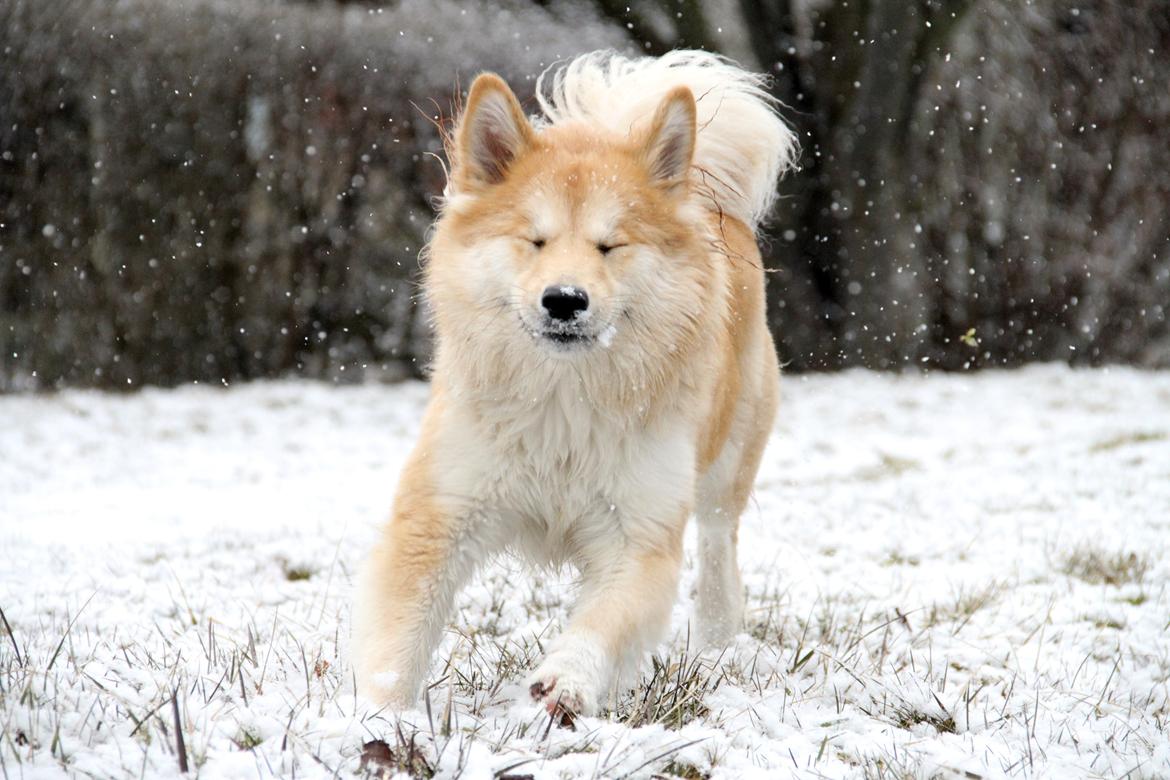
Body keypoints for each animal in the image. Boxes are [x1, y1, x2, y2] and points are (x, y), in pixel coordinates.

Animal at [351, 47, 800, 720]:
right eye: (533, 240)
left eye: (610, 246)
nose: (564, 299)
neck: (563, 402)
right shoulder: (441, 511)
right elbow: (402, 633)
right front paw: (379, 716)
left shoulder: (639, 535)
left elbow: (605, 621)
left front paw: (565, 680)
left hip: (729, 458)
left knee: (720, 544)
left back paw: (718, 642)